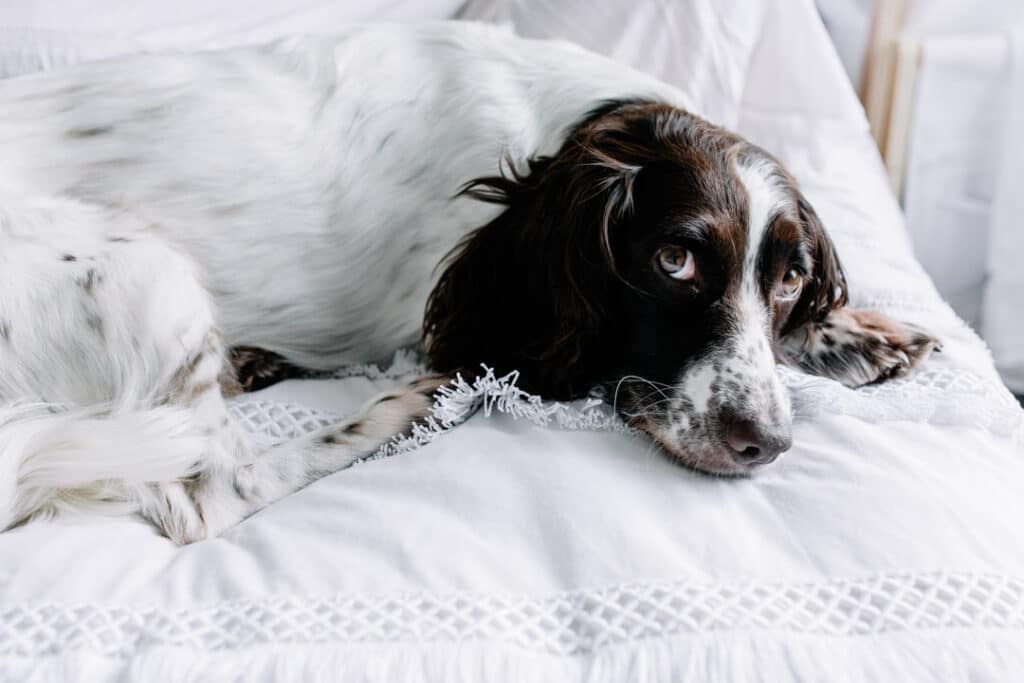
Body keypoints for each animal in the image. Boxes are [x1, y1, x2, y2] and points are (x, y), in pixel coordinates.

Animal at [0, 22, 937, 544]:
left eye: (789, 277)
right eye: (674, 260)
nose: (765, 443)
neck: (568, 136)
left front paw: (853, 333)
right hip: (145, 269)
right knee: (206, 492)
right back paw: (405, 405)